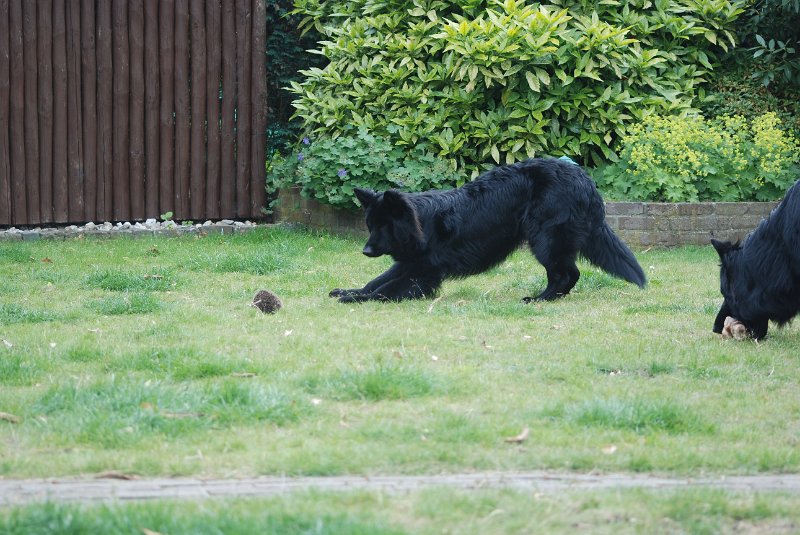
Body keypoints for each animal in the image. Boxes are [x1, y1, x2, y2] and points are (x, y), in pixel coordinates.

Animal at [328, 157, 648, 304]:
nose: (365, 250)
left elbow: (384, 290)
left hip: (545, 239)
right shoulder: (408, 263)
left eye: (385, 226)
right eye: (371, 226)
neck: (423, 223)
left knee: (567, 273)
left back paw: (540, 299)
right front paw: (350, 290)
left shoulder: (423, 271)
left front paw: (354, 299)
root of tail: (585, 180)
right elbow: (376, 281)